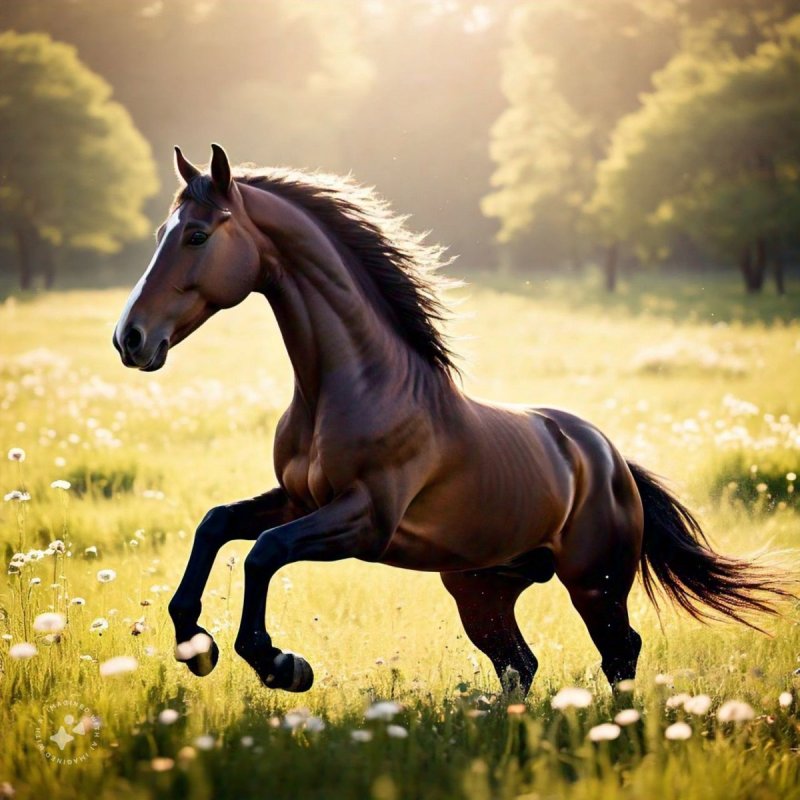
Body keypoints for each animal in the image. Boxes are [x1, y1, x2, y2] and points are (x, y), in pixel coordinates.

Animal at [113, 144, 789, 695]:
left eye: (197, 235)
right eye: (163, 230)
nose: (130, 338)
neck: (355, 385)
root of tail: (609, 458)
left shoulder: (365, 521)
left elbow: (263, 552)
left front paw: (280, 664)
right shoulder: (298, 497)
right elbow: (216, 524)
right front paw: (195, 646)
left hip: (595, 584)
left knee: (619, 654)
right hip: (480, 589)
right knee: (520, 664)